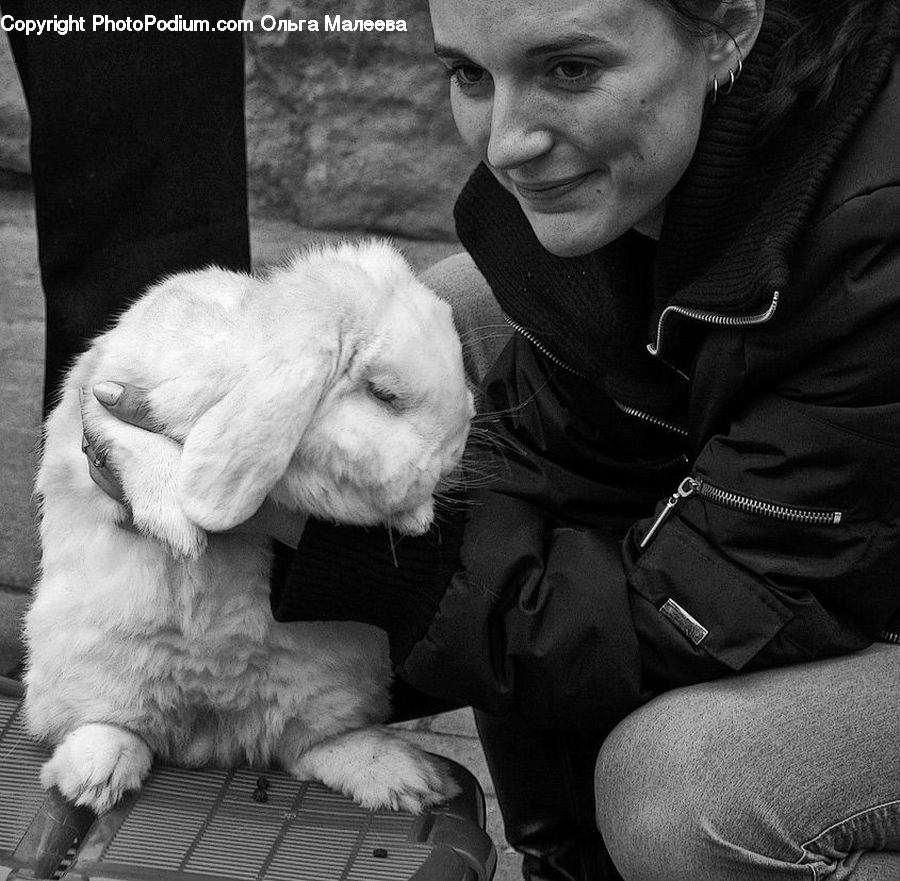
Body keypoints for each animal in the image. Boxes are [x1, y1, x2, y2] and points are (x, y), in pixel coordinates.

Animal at [23, 239, 474, 816]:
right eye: (383, 394)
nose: (454, 458)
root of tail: (216, 729)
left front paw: (417, 516)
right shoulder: (102, 395)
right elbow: (132, 439)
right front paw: (181, 525)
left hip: (337, 687)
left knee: (311, 745)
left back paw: (402, 779)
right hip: (83, 666)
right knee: (101, 725)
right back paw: (95, 776)